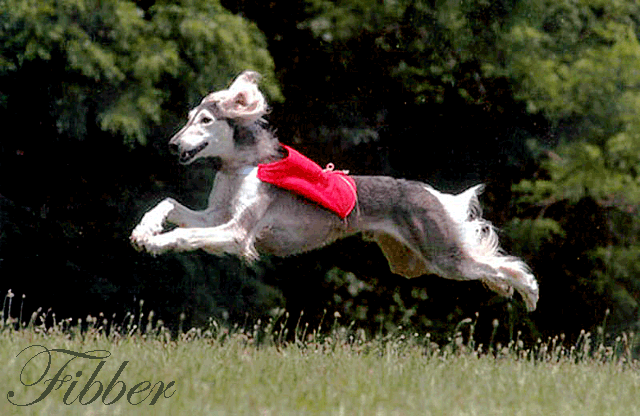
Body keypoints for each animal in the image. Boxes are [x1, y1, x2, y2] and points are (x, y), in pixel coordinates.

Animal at [130, 71, 540, 310]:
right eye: (189, 118)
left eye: (205, 120)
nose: (172, 145)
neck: (242, 165)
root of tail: (432, 193)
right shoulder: (217, 214)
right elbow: (170, 204)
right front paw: (144, 230)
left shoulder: (236, 231)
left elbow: (187, 235)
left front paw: (157, 243)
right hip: (409, 262)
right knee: (482, 263)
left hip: (441, 254)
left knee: (495, 263)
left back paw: (529, 289)